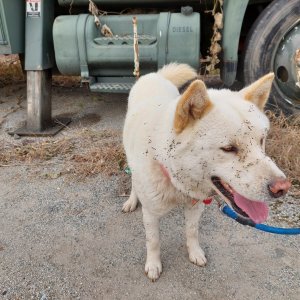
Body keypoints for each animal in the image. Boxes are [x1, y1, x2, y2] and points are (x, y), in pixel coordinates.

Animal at [121, 63, 290, 282]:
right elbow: (153, 241)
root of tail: (153, 76)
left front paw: (195, 253)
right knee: (134, 182)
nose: (282, 188)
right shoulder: (150, 213)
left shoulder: (196, 206)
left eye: (261, 140)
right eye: (228, 148)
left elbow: (192, 232)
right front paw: (153, 264)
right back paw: (131, 201)